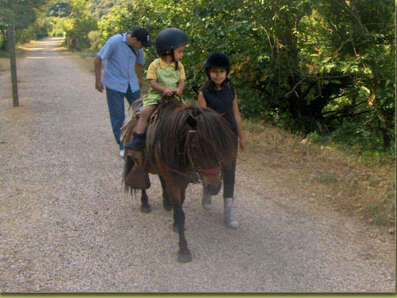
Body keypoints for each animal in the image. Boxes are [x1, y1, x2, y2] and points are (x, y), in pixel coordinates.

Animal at [122, 96, 235, 262]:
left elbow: (179, 205)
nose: (213, 187)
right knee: (143, 182)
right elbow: (181, 213)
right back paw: (145, 203)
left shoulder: (182, 181)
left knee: (162, 181)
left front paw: (175, 221)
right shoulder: (175, 181)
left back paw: (166, 203)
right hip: (141, 162)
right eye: (195, 147)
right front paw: (183, 249)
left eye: (220, 146)